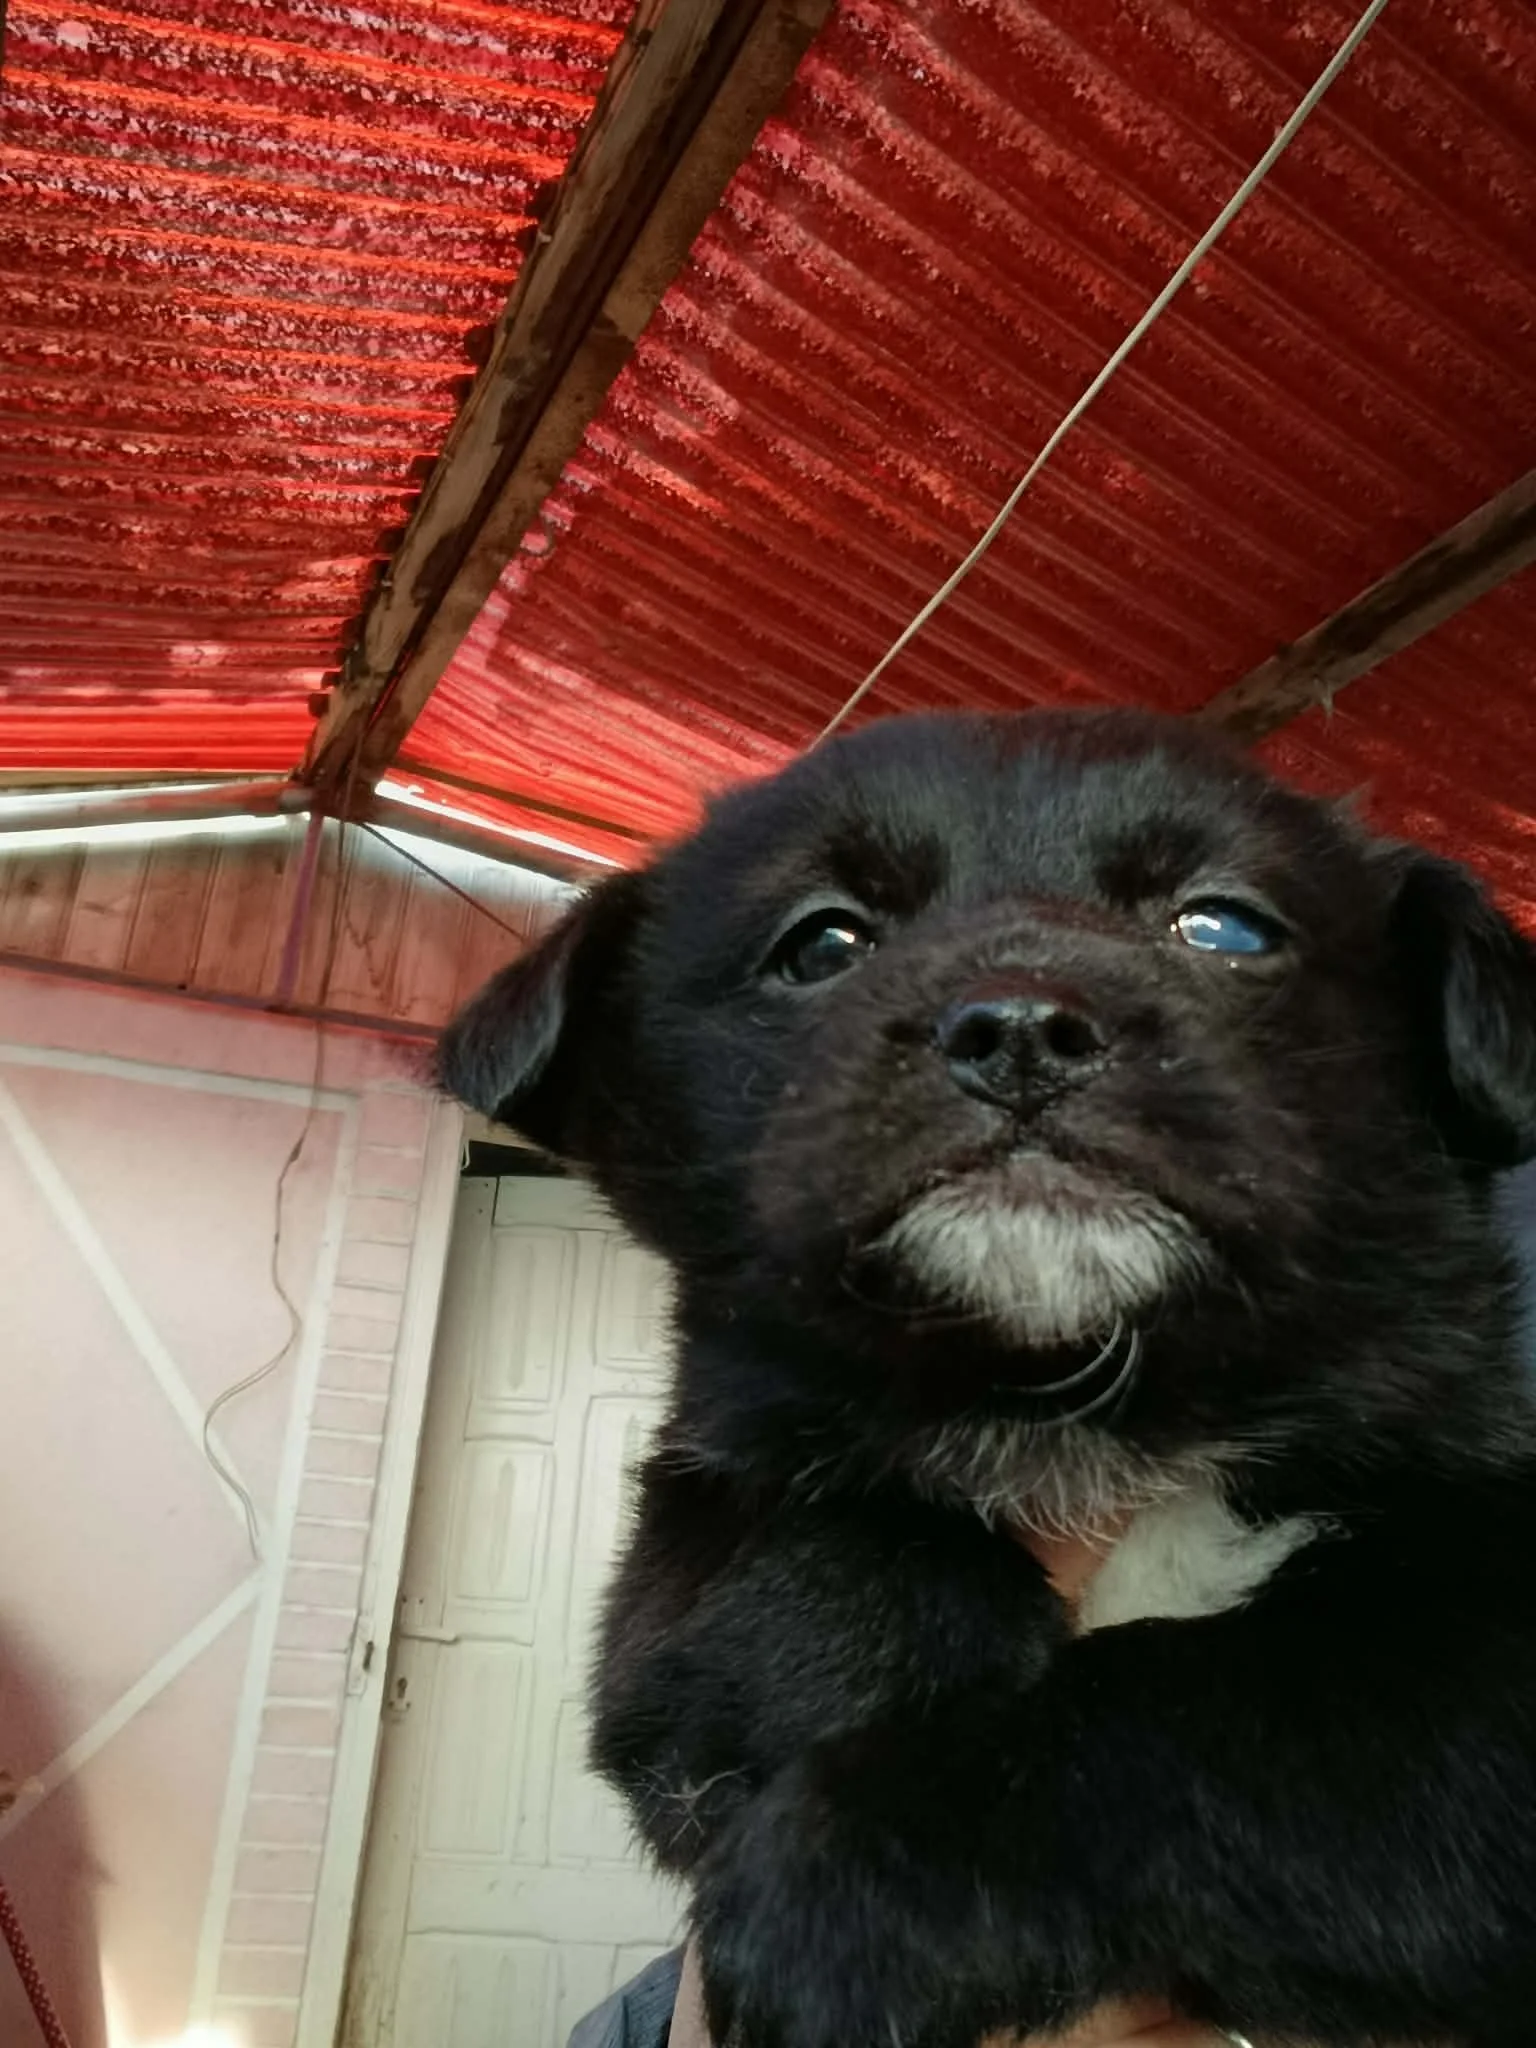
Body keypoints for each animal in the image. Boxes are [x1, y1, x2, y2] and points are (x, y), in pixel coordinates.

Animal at [439, 710, 1536, 2048]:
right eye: (823, 942)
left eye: (1224, 926)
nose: (1019, 1025)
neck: (1068, 1402)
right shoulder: (694, 1520)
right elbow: (809, 1568)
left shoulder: (1481, 1656)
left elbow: (1207, 1707)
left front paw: (843, 1895)